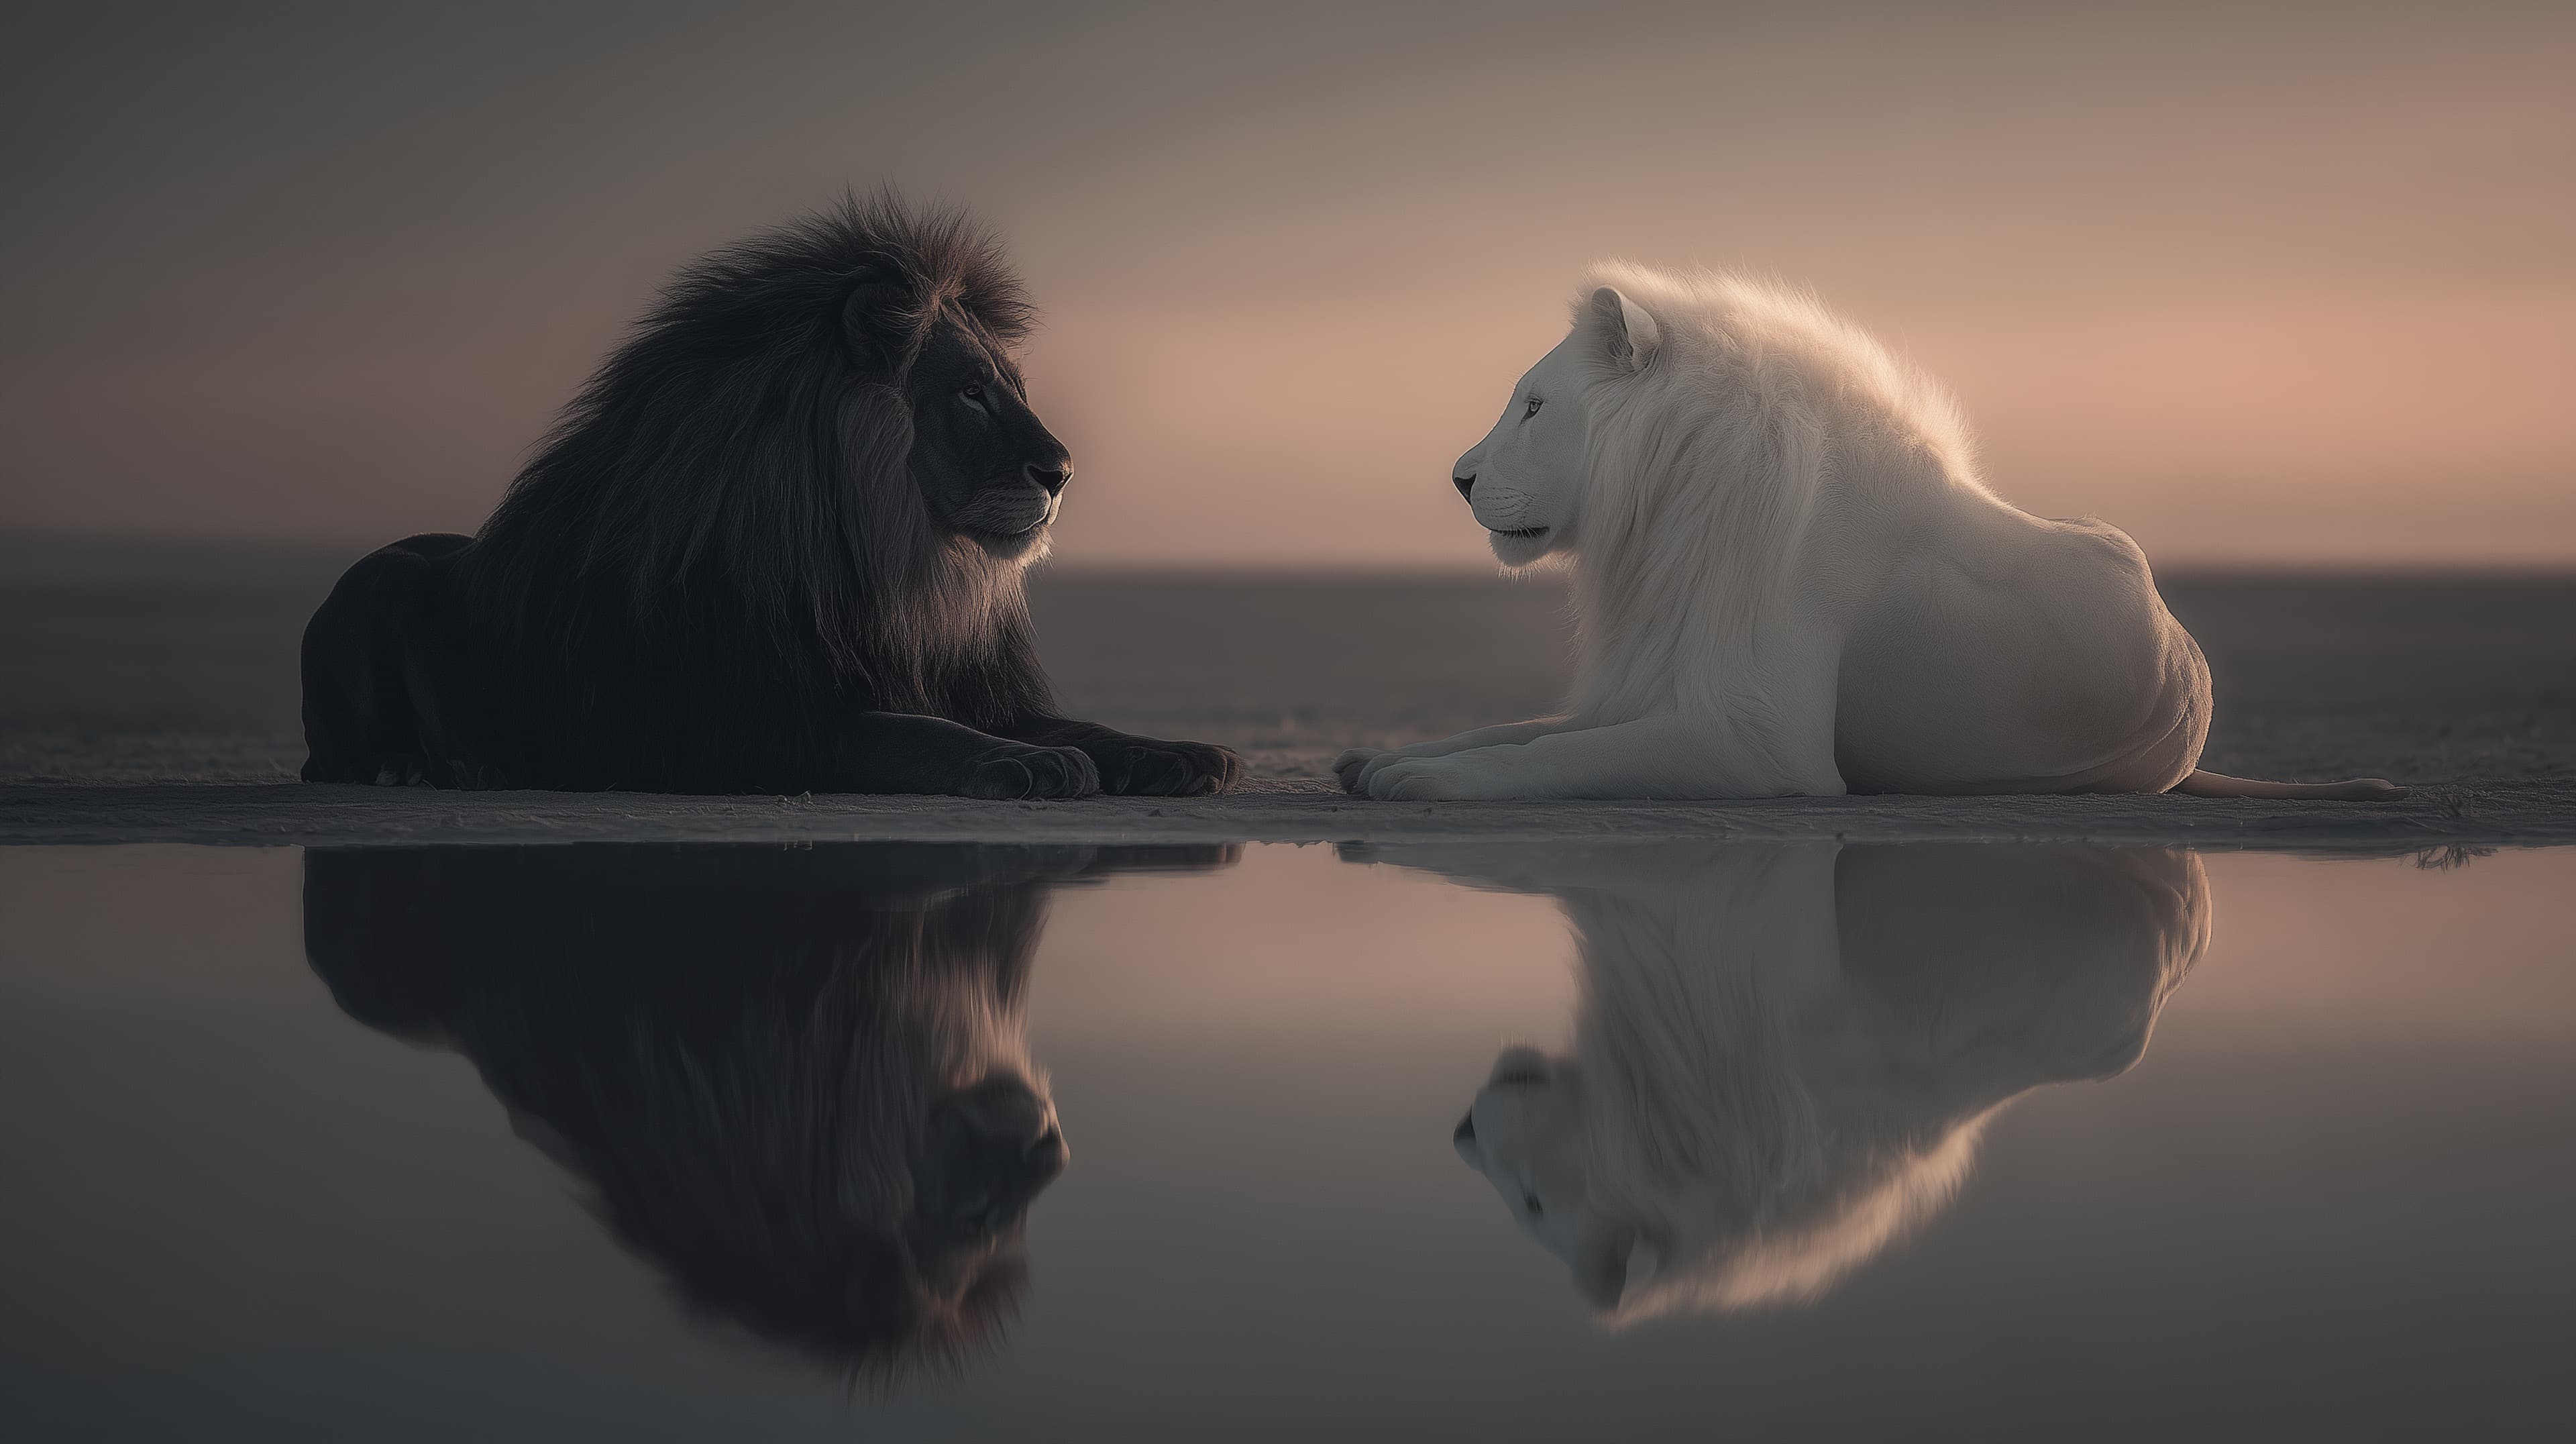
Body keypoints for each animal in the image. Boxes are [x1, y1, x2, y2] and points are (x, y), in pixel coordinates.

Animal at [301, 193, 1239, 797]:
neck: (889, 565)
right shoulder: (749, 725)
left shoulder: (967, 687)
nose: (1062, 470)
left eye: (1011, 387)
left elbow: (1079, 726)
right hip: (374, 585)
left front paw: (1179, 753)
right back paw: (434, 767)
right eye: (971, 394)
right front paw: (1024, 766)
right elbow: (904, 733)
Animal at [1337, 266, 2399, 802]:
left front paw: (1422, 782)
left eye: (1533, 405)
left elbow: (1545, 759)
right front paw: (1378, 760)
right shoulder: (1650, 683)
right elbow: (1515, 727)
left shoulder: (1760, 746)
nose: (1459, 478)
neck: (1669, 504)